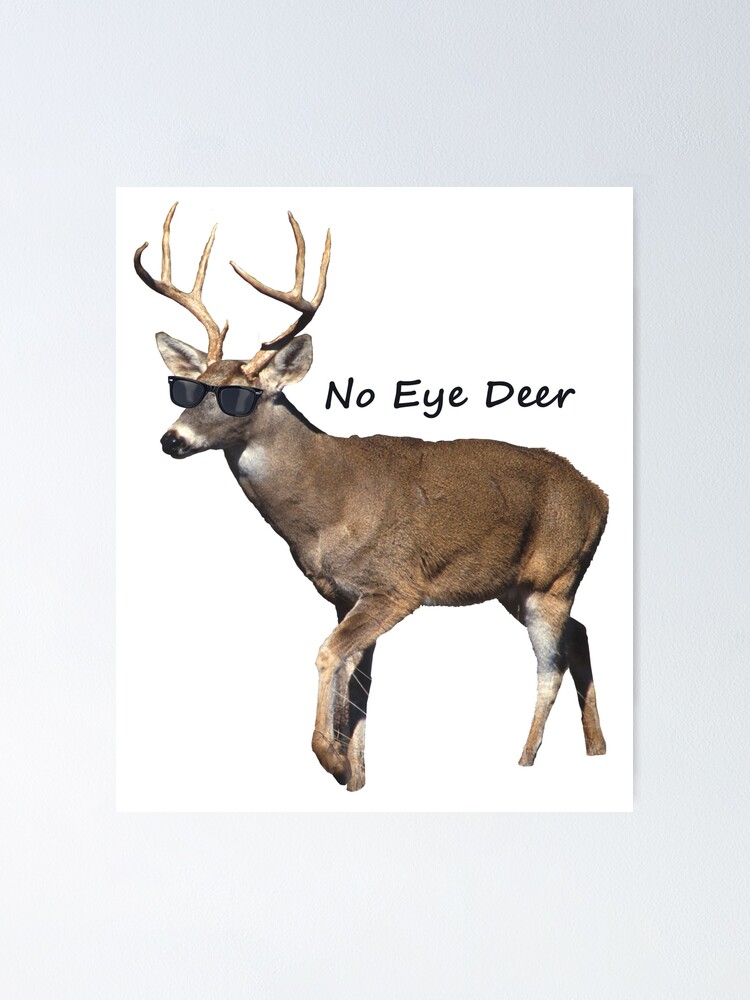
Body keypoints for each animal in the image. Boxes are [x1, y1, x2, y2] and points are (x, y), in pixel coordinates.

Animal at [134, 203, 609, 792]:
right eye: (187, 387)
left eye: (241, 395)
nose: (172, 439)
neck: (325, 507)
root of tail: (601, 494)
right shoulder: (343, 593)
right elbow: (359, 686)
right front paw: (355, 776)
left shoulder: (395, 586)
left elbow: (327, 655)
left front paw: (331, 760)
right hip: (516, 587)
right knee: (580, 634)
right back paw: (596, 749)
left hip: (554, 578)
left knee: (550, 666)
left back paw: (524, 760)